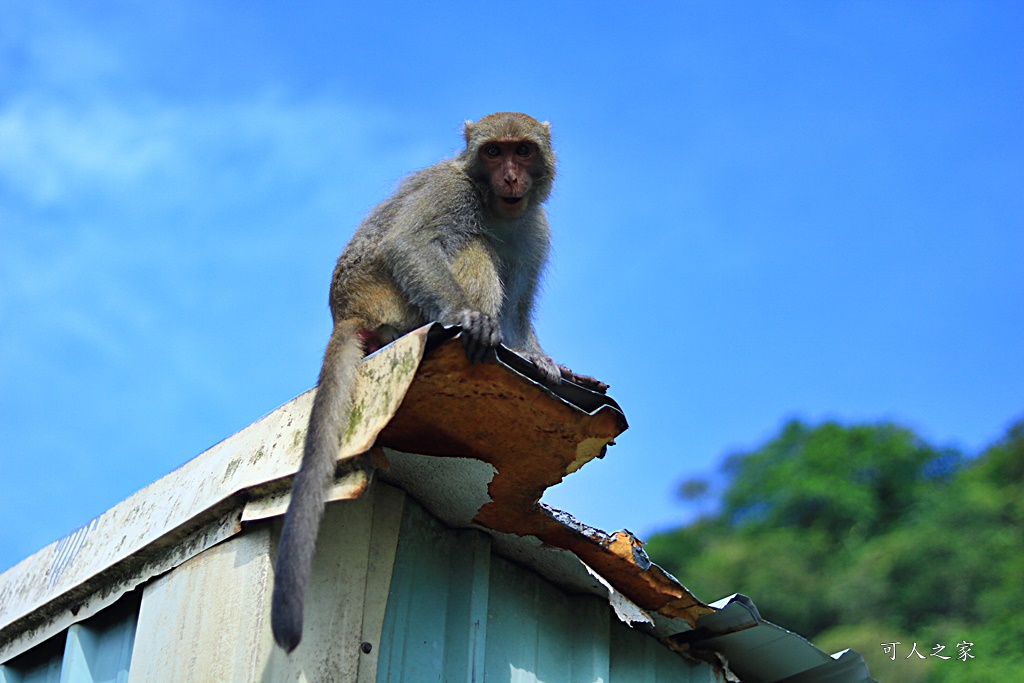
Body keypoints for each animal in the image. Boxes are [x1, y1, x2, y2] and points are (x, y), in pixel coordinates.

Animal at [268, 112, 565, 651]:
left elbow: (519, 308)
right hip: (391, 299)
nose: (511, 176)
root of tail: (348, 311)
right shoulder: (453, 192)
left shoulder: (536, 229)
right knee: (469, 244)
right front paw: (471, 319)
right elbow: (409, 243)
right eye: (493, 153)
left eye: (523, 151)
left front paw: (538, 356)